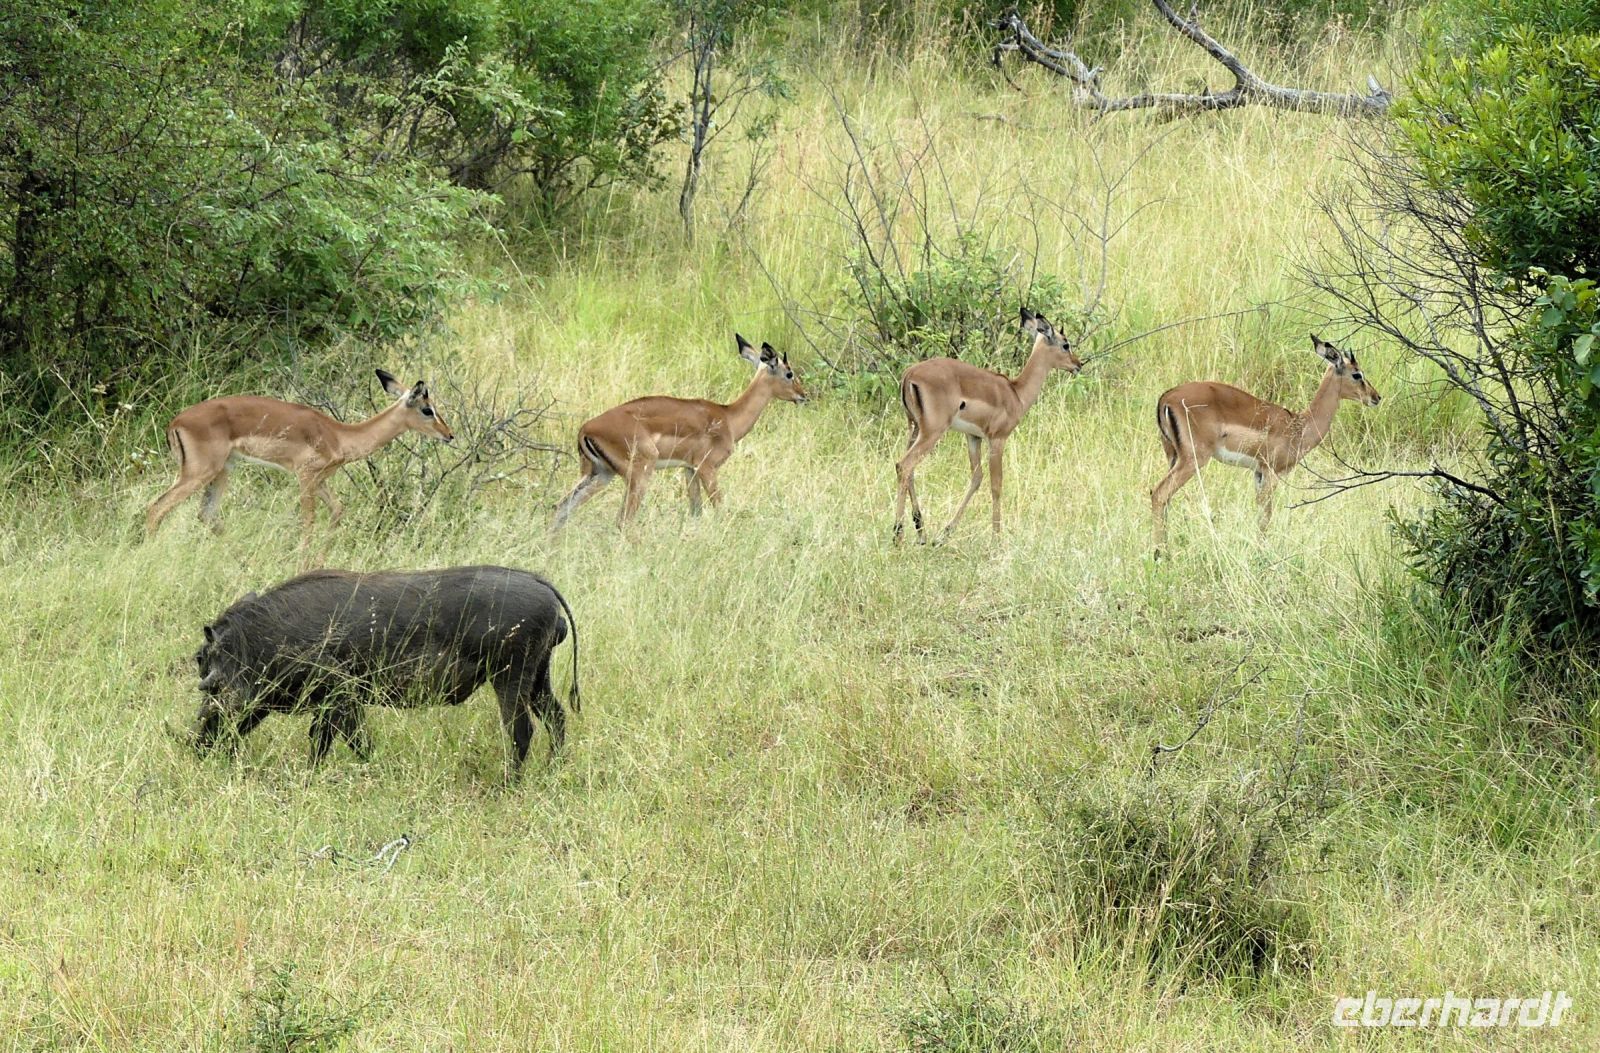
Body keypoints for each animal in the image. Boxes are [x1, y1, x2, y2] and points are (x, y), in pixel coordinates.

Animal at [145, 369, 453, 544]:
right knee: (156, 508)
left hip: (222, 472)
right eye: (428, 409)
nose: (449, 434)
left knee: (206, 514)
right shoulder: (305, 477)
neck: (339, 435)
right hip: (198, 473)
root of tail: (175, 423)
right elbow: (308, 522)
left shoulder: (320, 481)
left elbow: (338, 511)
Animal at [551, 333, 806, 529]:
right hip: (639, 473)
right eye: (789, 373)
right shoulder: (706, 468)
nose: (803, 395)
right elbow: (719, 508)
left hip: (600, 474)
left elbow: (696, 512)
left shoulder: (689, 469)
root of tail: (585, 429)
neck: (728, 418)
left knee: (560, 508)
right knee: (623, 520)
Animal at [893, 307, 1082, 542]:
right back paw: (898, 534)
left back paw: (921, 532)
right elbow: (996, 485)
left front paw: (946, 533)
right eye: (1065, 344)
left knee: (907, 470)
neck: (1016, 393)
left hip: (914, 428)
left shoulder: (973, 437)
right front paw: (996, 537)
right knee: (905, 465)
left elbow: (977, 478)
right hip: (932, 432)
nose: (1078, 364)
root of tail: (909, 374)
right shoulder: (997, 439)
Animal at [1150, 334, 1381, 548]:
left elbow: (1260, 512)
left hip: (1173, 456)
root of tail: (1166, 398)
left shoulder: (1258, 472)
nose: (1376, 397)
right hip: (1194, 459)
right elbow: (1266, 514)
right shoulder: (1272, 472)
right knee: (1159, 493)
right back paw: (1161, 555)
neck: (1299, 425)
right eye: (1357, 374)